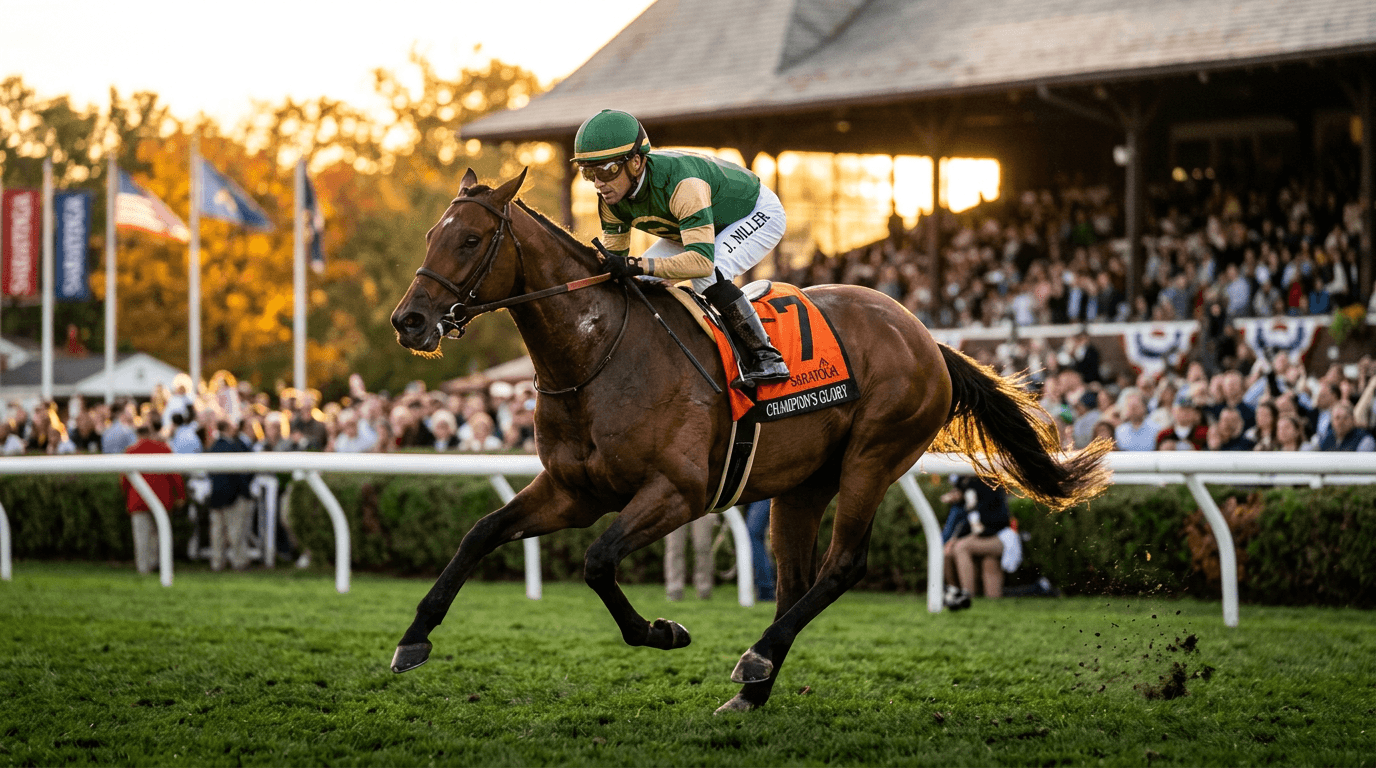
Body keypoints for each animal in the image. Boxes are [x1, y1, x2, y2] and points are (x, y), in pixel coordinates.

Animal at [388, 168, 1110, 714]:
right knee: (795, 579)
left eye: (472, 238)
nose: (409, 321)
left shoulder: (678, 492)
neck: (599, 355)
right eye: (429, 235)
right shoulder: (573, 490)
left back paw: (756, 659)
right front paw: (413, 638)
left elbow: (597, 561)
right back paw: (756, 687)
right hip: (802, 484)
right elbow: (481, 532)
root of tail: (927, 336)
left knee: (843, 564)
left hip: (873, 457)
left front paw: (664, 630)